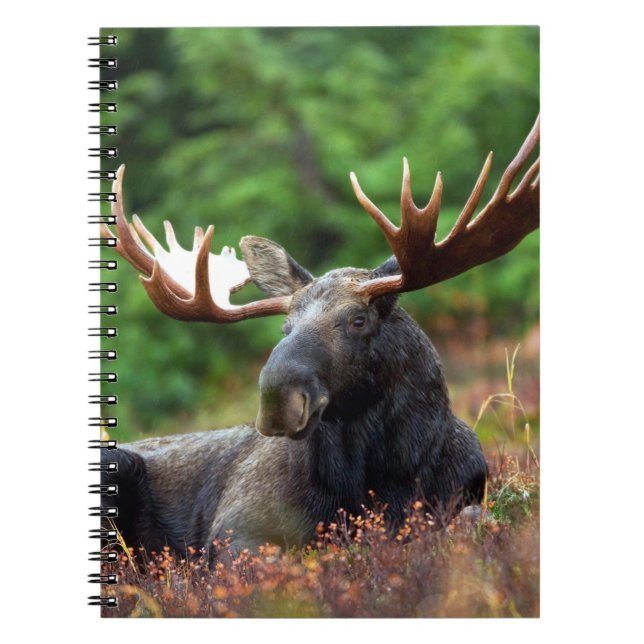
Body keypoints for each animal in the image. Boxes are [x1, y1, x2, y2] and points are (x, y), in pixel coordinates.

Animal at [99, 117, 540, 555]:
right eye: (286, 326)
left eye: (358, 320)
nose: (277, 400)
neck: (382, 477)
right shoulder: (236, 527)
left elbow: (470, 520)